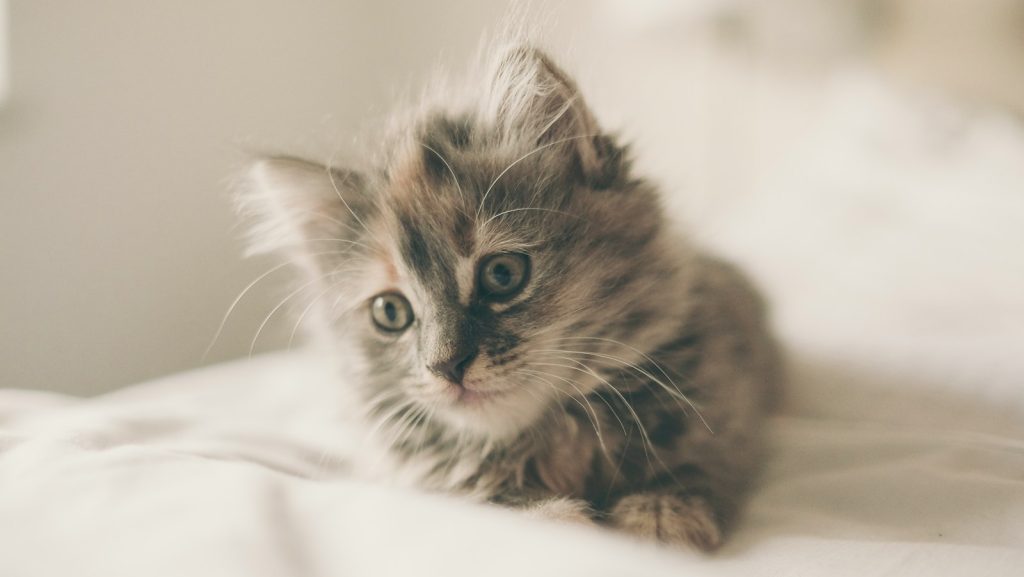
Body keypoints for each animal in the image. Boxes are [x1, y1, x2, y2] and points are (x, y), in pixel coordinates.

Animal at [241, 45, 782, 549]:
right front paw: (561, 518)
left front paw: (660, 517)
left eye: (502, 274)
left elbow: (696, 463)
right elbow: (512, 508)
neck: (557, 438)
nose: (446, 367)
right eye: (390, 312)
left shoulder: (726, 403)